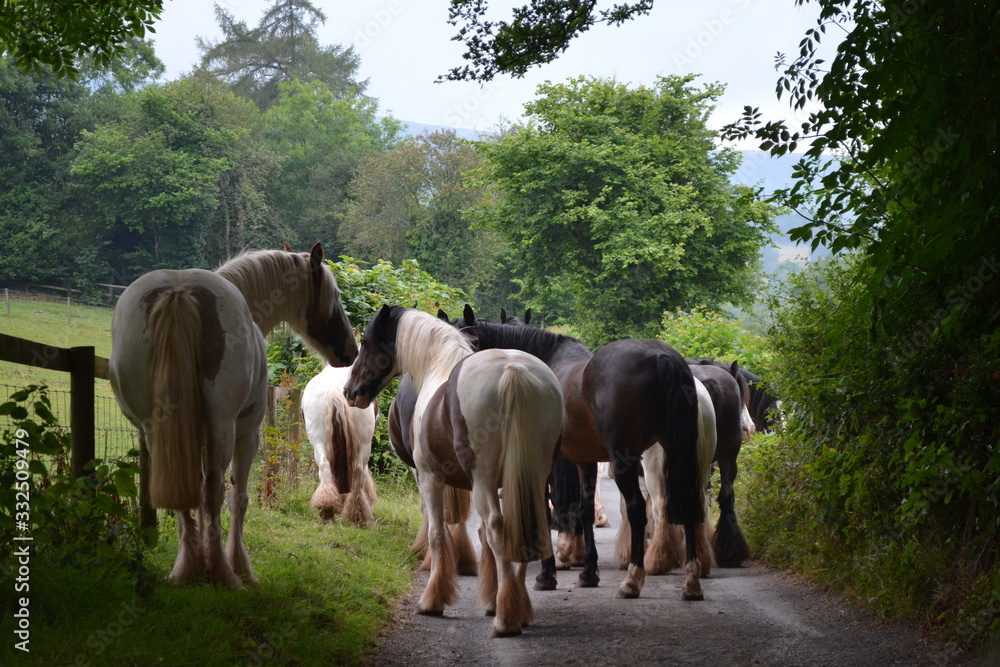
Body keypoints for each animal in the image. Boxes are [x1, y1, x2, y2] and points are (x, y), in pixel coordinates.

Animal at [109, 243, 358, 588]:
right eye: (333, 295)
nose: (351, 351)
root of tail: (178, 292)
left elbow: (197, 494)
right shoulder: (247, 434)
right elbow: (237, 498)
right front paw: (239, 565)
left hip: (153, 431)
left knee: (183, 494)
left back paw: (186, 568)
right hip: (224, 429)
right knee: (214, 491)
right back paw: (222, 572)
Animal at [300, 362, 378, 524]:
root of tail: (333, 389)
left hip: (318, 441)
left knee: (325, 467)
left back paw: (327, 509)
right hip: (365, 444)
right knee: (359, 471)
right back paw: (357, 515)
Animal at [344, 306, 564, 636]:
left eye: (367, 342)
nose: (350, 391)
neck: (437, 366)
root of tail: (513, 371)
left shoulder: (430, 478)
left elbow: (439, 532)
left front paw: (434, 600)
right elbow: (481, 534)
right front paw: (491, 599)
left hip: (485, 479)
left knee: (498, 528)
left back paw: (506, 619)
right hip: (533, 476)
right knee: (527, 527)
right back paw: (519, 609)